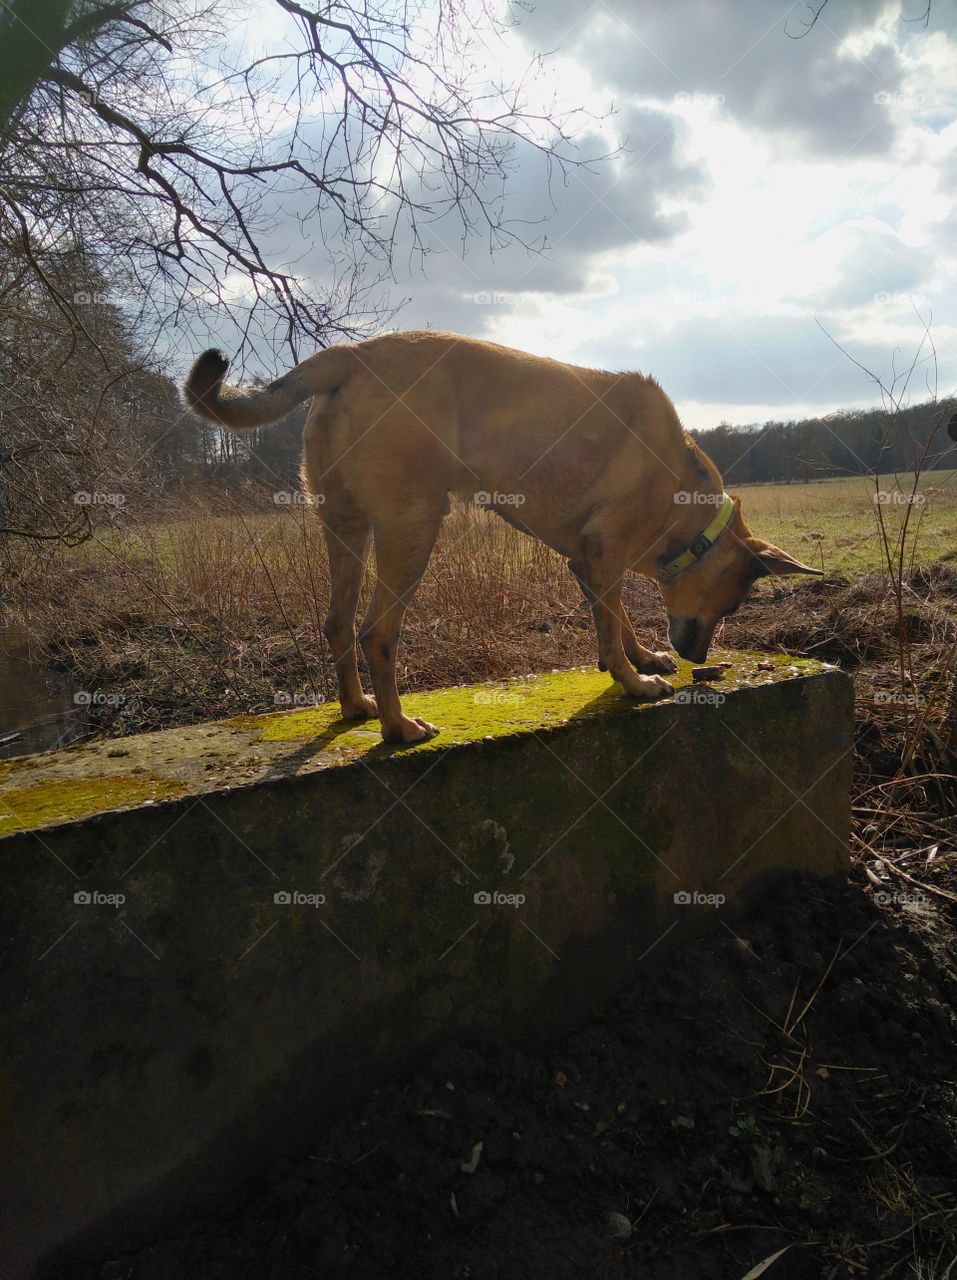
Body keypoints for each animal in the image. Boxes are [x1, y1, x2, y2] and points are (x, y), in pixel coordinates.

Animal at [185, 332, 813, 742]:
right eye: (730, 604)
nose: (697, 656)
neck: (687, 499)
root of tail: (351, 356)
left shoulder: (588, 560)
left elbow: (615, 619)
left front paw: (639, 658)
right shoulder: (605, 551)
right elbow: (612, 626)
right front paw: (634, 683)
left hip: (346, 531)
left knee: (338, 622)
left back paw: (358, 707)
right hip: (411, 531)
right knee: (376, 632)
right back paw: (398, 726)